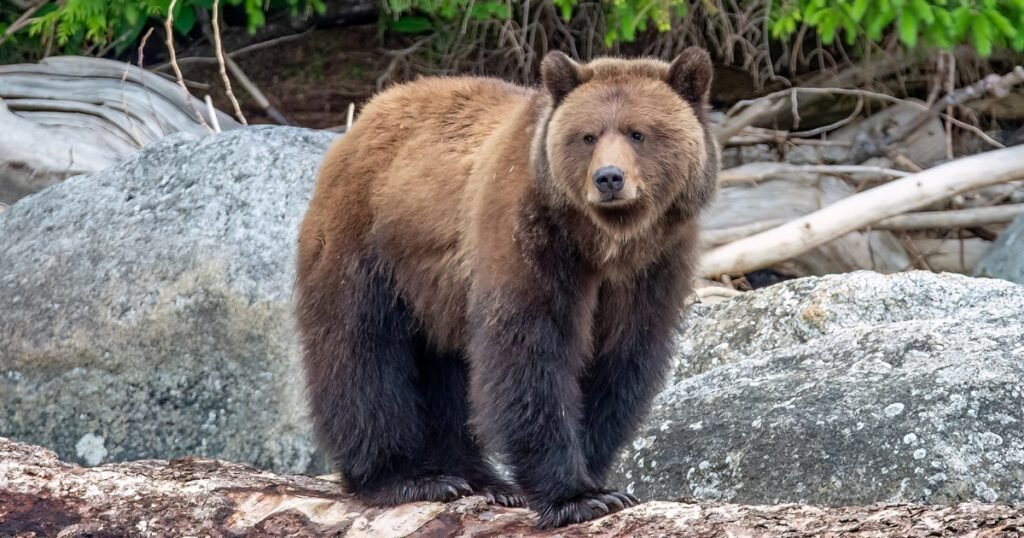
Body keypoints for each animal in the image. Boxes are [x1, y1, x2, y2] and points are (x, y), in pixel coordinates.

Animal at [294, 48, 718, 529]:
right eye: (588, 136)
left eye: (638, 132)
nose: (609, 178)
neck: (603, 244)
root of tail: (366, 114)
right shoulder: (529, 237)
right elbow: (529, 354)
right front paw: (575, 497)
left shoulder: (654, 267)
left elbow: (621, 363)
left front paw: (597, 479)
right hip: (368, 243)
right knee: (360, 351)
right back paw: (405, 477)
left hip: (438, 291)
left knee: (445, 369)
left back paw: (479, 478)